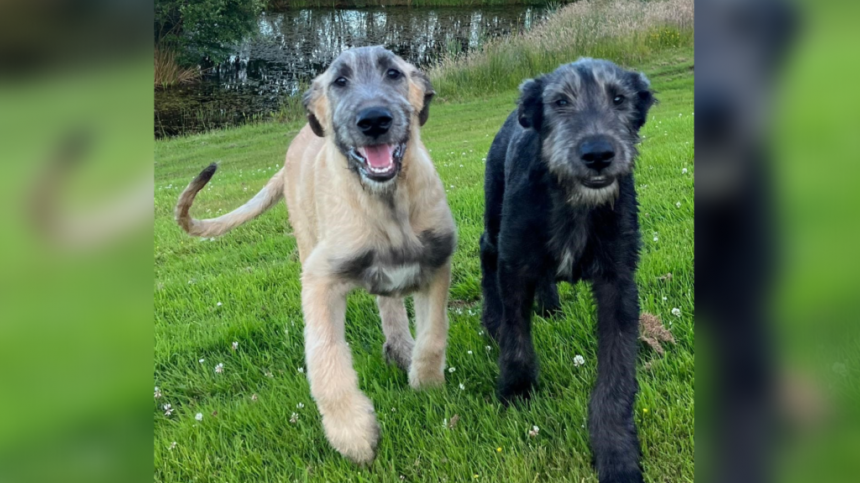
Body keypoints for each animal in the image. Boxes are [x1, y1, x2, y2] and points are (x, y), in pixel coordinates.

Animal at [480, 60, 656, 483]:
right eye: (560, 102)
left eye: (619, 99)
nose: (598, 154)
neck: (573, 199)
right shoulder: (514, 266)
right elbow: (516, 340)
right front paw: (517, 393)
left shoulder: (618, 284)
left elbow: (616, 378)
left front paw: (617, 453)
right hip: (494, 218)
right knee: (485, 254)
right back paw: (491, 321)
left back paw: (550, 307)